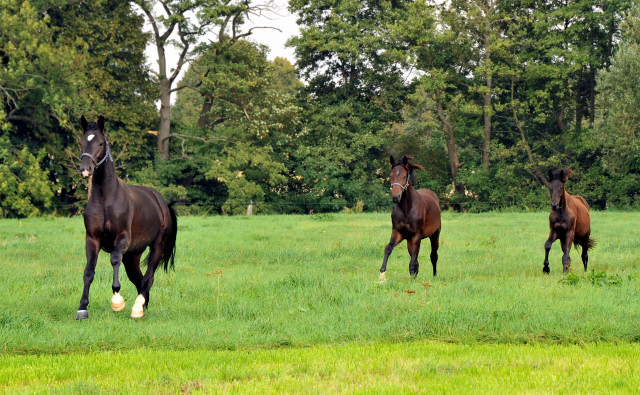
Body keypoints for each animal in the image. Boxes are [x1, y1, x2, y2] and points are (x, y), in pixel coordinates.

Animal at [75, 116, 178, 320]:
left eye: (100, 143)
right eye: (82, 142)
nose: (85, 170)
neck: (106, 198)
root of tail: (162, 203)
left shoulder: (122, 238)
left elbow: (114, 259)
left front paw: (117, 300)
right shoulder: (92, 239)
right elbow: (88, 271)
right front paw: (82, 308)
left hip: (156, 247)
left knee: (148, 277)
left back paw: (137, 307)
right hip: (132, 256)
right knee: (139, 278)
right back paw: (143, 305)